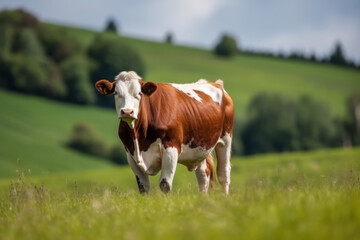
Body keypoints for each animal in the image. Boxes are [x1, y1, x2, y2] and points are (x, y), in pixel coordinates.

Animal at [94, 71, 235, 195]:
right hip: (200, 146)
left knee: (223, 174)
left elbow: (164, 185)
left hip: (225, 140)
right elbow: (143, 187)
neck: (139, 137)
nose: (127, 112)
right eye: (116, 93)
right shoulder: (130, 154)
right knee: (203, 175)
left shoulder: (171, 148)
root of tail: (215, 83)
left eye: (139, 93)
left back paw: (225, 198)